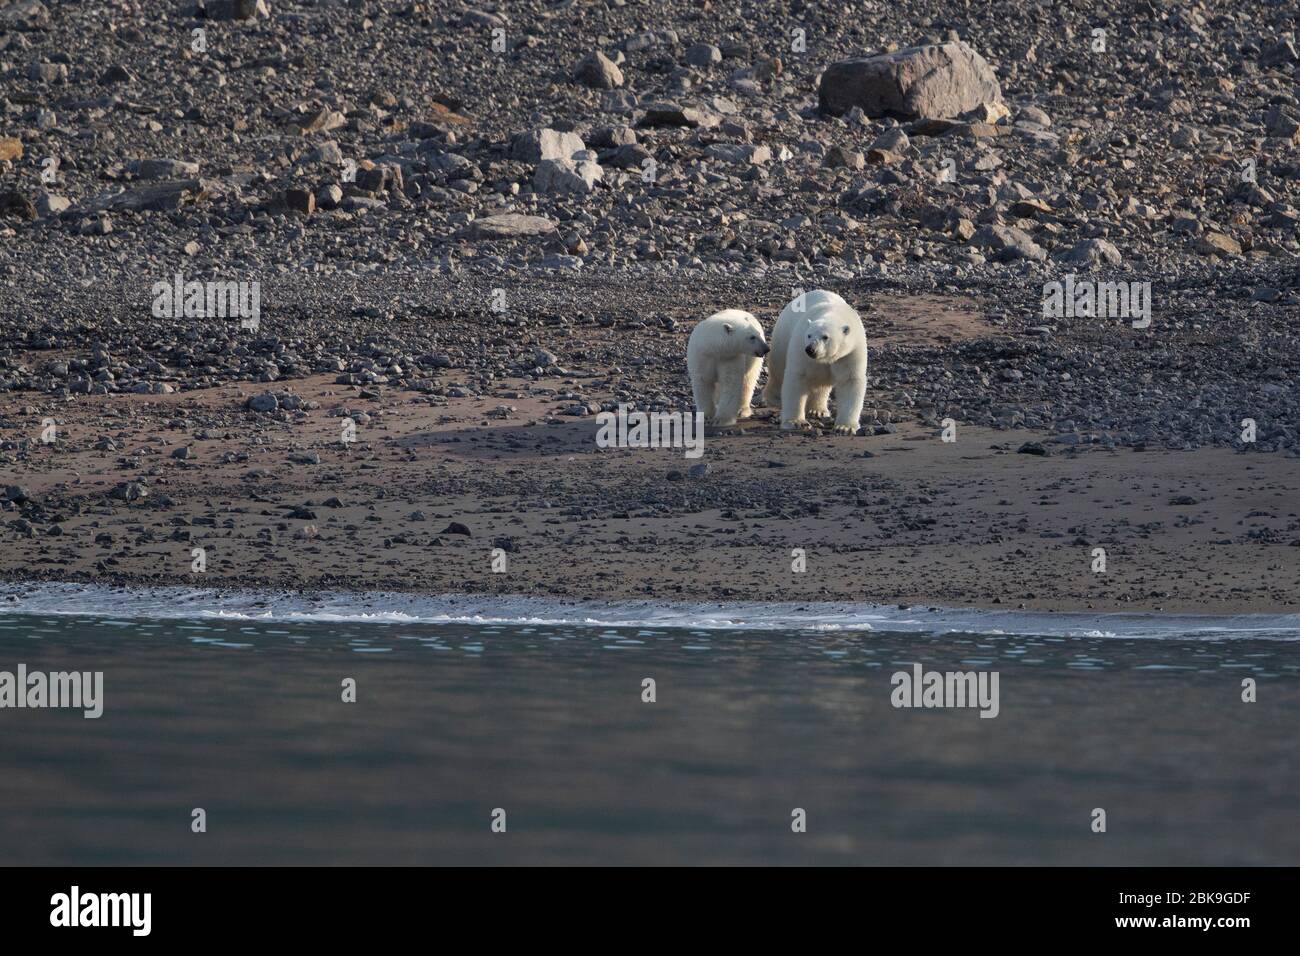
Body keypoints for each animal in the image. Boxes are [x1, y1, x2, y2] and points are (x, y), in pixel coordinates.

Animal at [764, 286, 868, 431]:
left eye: (825, 337)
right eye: (809, 335)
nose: (810, 349)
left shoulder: (850, 353)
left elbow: (850, 380)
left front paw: (845, 427)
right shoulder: (800, 347)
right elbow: (797, 377)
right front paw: (796, 422)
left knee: (821, 385)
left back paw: (818, 410)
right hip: (782, 340)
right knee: (778, 372)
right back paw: (775, 398)